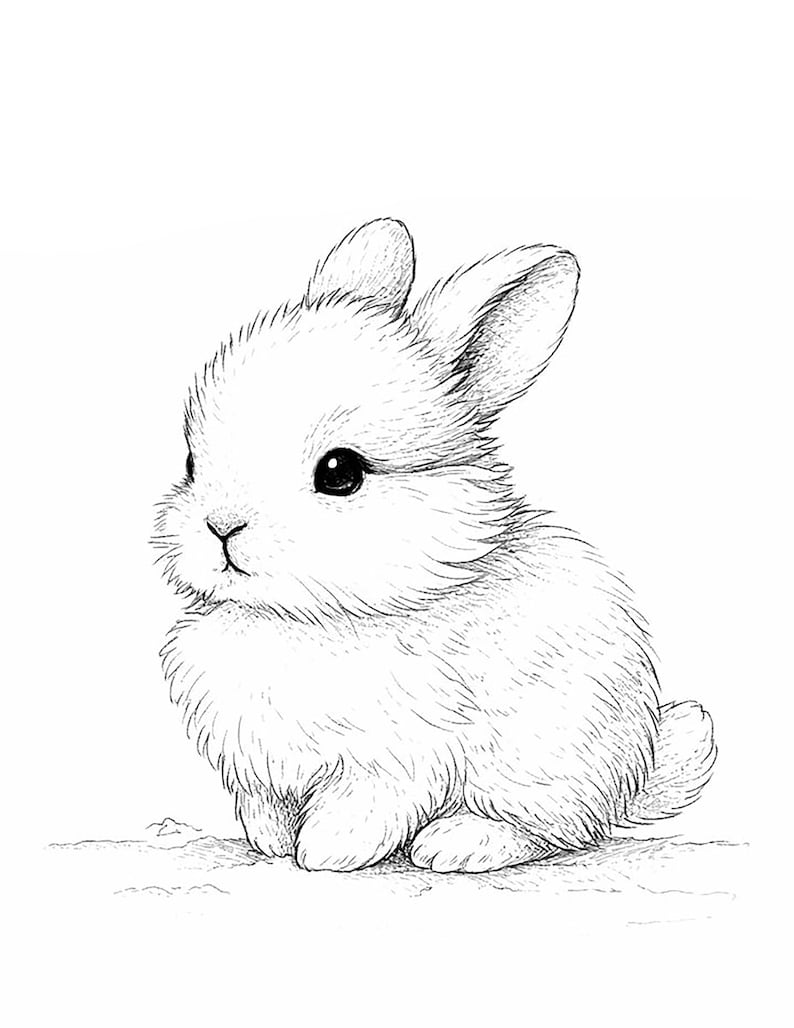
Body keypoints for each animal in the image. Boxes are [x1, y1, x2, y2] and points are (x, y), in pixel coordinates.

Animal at [152, 218, 716, 873]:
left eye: (340, 473)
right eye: (191, 463)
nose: (220, 528)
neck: (306, 620)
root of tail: (631, 778)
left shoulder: (395, 762)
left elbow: (363, 811)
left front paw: (323, 854)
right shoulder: (260, 768)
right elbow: (262, 807)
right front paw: (272, 844)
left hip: (537, 767)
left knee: (550, 831)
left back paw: (456, 845)